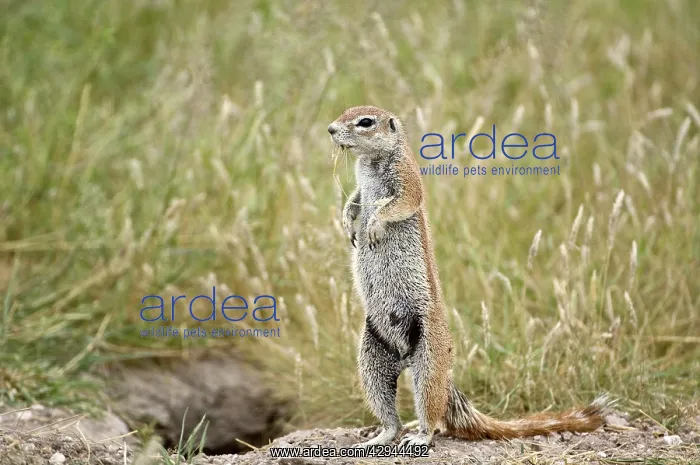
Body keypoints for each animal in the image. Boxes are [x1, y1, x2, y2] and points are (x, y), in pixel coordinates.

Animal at [327, 105, 611, 448]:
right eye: (345, 112)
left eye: (365, 122)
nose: (330, 129)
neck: (371, 162)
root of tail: (407, 359)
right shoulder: (361, 184)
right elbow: (355, 199)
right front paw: (348, 221)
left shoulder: (407, 178)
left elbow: (402, 202)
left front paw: (373, 225)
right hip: (371, 357)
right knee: (389, 412)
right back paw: (379, 437)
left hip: (429, 358)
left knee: (431, 411)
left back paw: (420, 437)